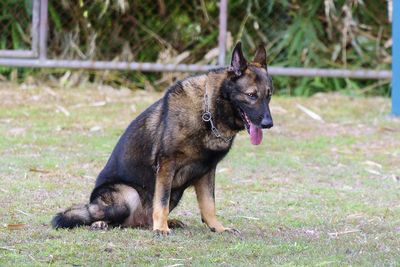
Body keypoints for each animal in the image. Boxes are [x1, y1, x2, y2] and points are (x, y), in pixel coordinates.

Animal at [51, 40, 274, 236]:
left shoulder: (207, 172)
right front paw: (161, 228)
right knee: (97, 215)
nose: (268, 123)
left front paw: (217, 228)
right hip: (127, 195)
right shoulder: (167, 165)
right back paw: (102, 223)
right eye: (252, 95)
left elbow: (209, 205)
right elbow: (161, 201)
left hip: (176, 193)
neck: (208, 112)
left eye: (269, 95)